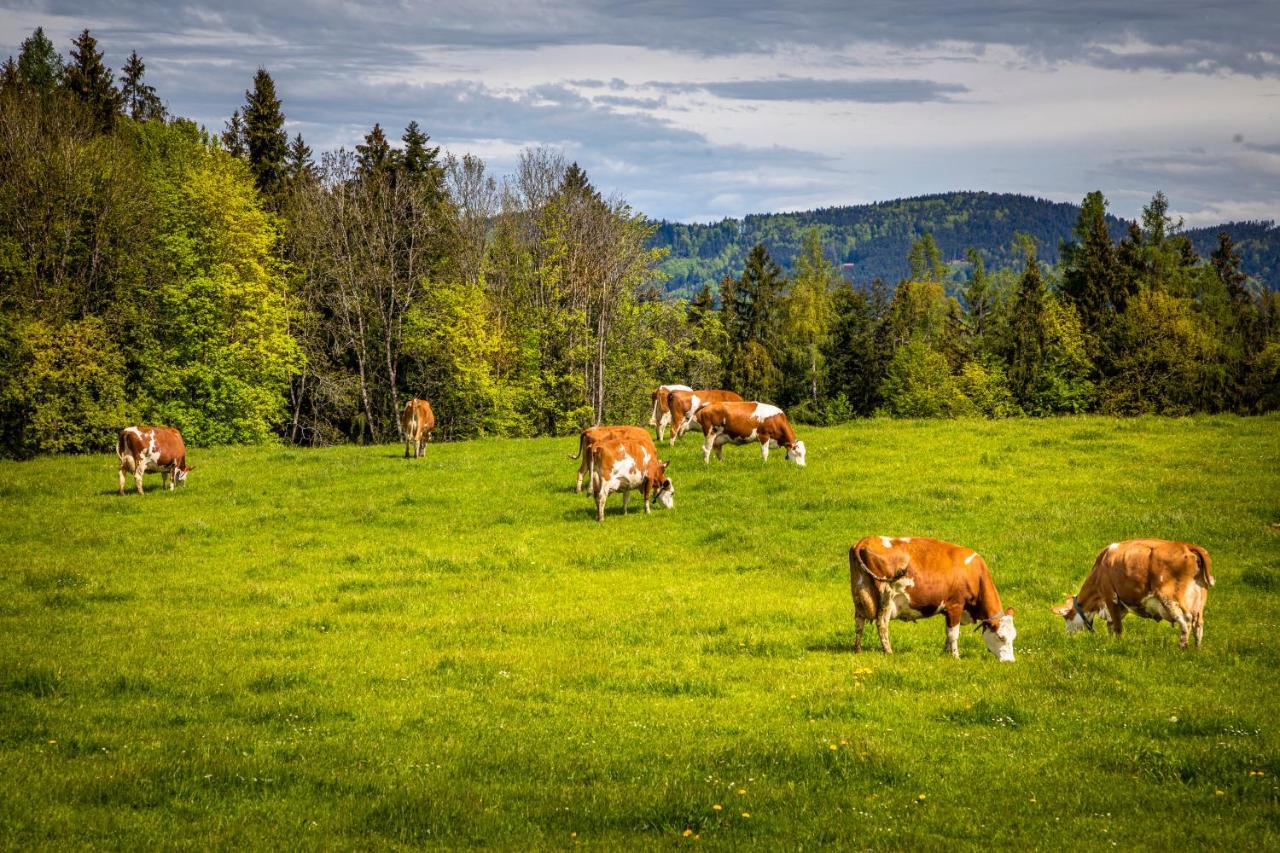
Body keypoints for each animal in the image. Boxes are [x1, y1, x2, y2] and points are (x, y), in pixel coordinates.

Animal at [849, 535, 1018, 660]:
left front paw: (945, 652)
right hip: (886, 594)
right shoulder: (955, 605)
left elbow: (948, 634)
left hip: (859, 594)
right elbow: (954, 634)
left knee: (859, 622)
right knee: (882, 623)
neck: (974, 574)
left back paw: (858, 649)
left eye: (1013, 637)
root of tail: (864, 540)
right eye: (1001, 637)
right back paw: (888, 651)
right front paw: (956, 656)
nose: (1010, 661)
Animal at [1049, 535, 1208, 648]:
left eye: (1067, 616)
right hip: (1200, 599)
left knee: (1185, 622)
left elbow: (1117, 626)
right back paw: (1196, 650)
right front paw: (1110, 641)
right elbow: (1111, 624)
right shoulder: (1121, 603)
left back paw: (1182, 649)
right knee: (1198, 624)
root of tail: (1187, 547)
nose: (1067, 635)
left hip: (1170, 599)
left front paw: (1117, 644)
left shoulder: (1110, 596)